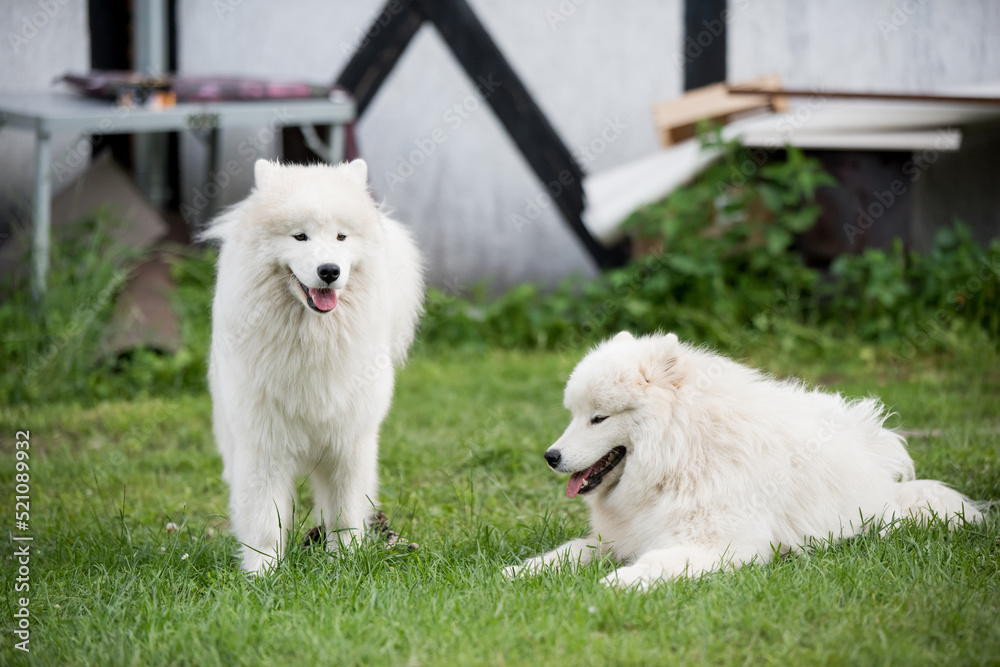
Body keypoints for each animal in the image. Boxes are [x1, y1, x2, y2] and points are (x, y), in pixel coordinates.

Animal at [203, 158, 422, 576]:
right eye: (300, 236)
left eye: (341, 237)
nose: (329, 271)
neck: (313, 342)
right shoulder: (263, 445)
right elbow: (264, 520)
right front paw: (262, 574)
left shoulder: (348, 445)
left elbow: (345, 514)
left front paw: (345, 563)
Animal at [508, 332, 984, 588]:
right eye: (573, 414)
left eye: (599, 418)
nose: (551, 456)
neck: (681, 456)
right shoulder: (616, 538)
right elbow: (567, 553)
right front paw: (519, 571)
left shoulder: (723, 545)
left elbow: (657, 562)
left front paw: (619, 583)